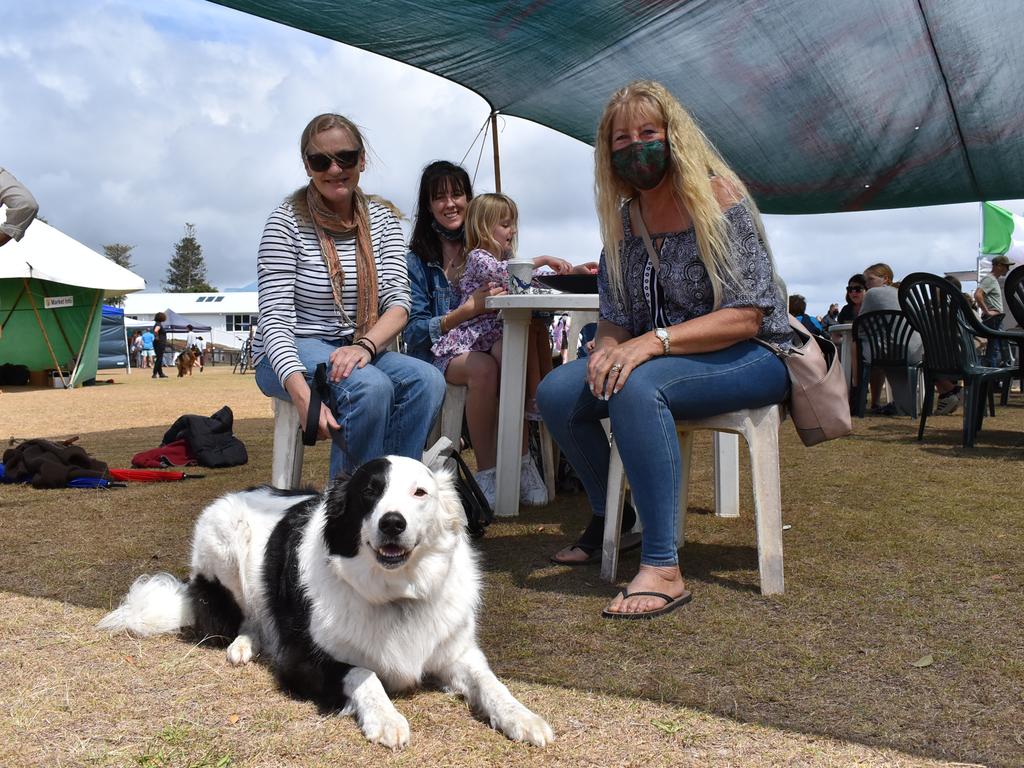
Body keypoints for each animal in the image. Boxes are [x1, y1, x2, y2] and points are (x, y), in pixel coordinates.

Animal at [97, 456, 552, 753]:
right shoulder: (302, 661)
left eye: (419, 492)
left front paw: (522, 716)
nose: (392, 522)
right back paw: (244, 645)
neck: (395, 594)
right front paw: (385, 718)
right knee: (248, 620)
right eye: (369, 492)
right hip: (224, 544)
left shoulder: (457, 653)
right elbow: (364, 671)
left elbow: (491, 683)